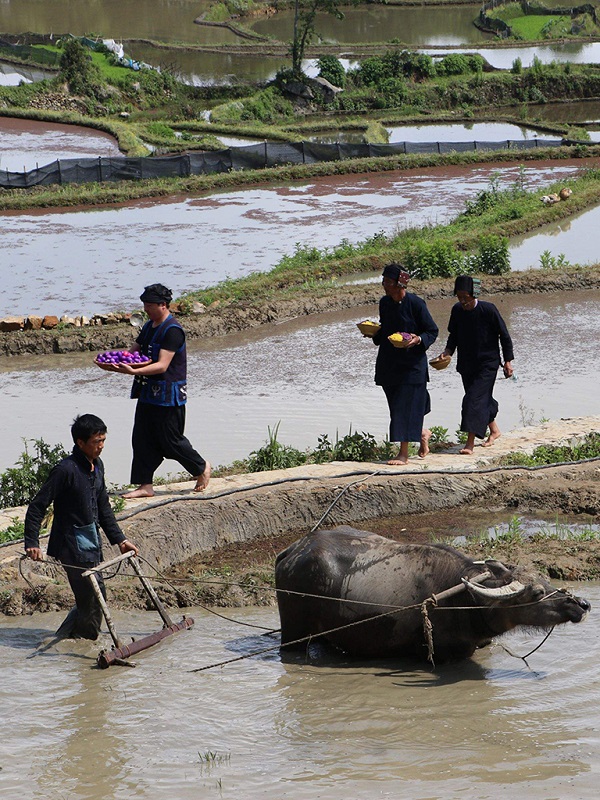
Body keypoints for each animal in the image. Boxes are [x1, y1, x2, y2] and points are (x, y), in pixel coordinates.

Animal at [276, 524, 592, 664]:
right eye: (536, 592)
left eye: (545, 579)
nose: (582, 604)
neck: (466, 602)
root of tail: (291, 551)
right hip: (292, 633)